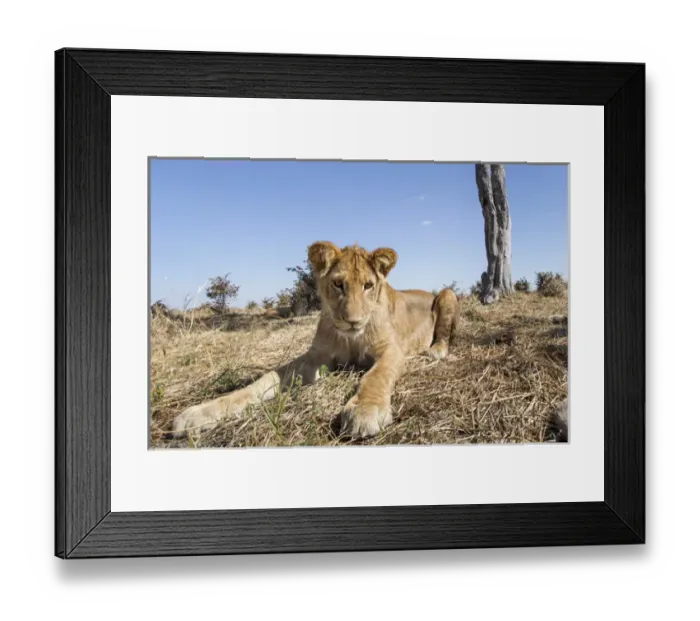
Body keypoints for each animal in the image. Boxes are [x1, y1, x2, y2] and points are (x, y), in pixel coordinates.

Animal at [171, 241, 460, 440]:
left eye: (368, 286)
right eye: (338, 284)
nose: (353, 321)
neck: (350, 338)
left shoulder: (391, 351)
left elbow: (375, 376)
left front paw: (365, 410)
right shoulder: (315, 358)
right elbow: (264, 380)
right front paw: (199, 414)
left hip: (447, 295)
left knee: (444, 334)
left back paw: (436, 350)